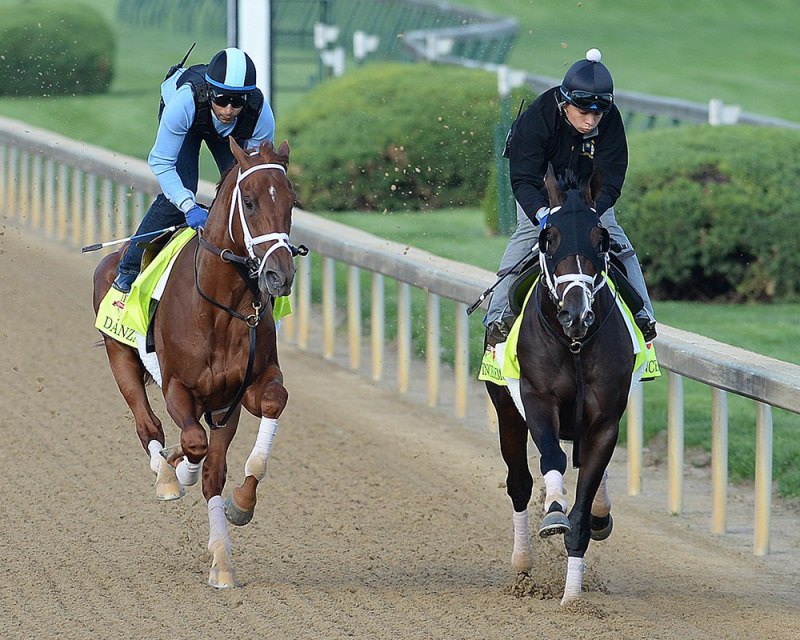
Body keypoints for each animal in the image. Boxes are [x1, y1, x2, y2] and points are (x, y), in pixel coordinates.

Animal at [91, 138, 296, 588]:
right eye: (249, 201)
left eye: (293, 201)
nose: (280, 275)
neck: (221, 305)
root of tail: (111, 258)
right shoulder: (178, 388)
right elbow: (194, 444)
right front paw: (178, 469)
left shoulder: (239, 393)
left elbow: (268, 408)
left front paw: (239, 508)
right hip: (120, 356)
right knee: (147, 423)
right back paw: (167, 475)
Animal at [484, 166, 636, 604]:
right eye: (547, 238)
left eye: (601, 238)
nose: (576, 313)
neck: (575, 345)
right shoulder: (537, 400)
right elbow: (552, 460)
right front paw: (553, 511)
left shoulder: (605, 421)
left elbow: (583, 511)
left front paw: (572, 598)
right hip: (506, 412)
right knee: (519, 483)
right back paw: (522, 564)